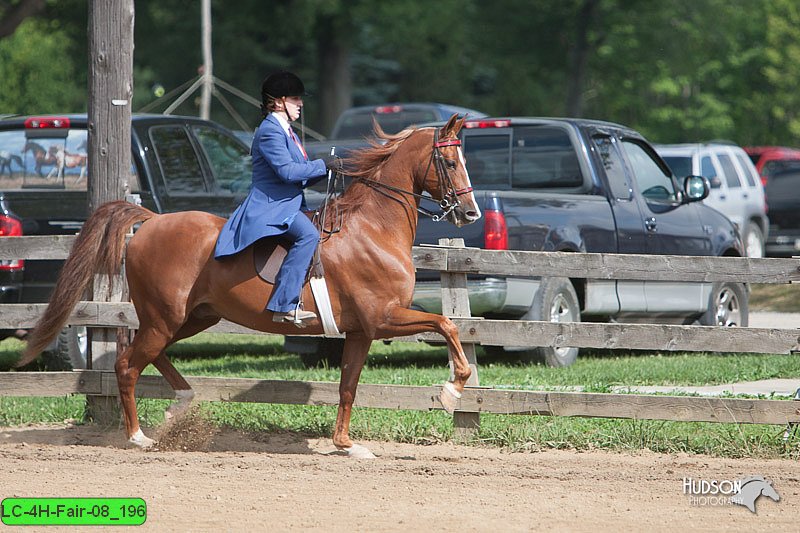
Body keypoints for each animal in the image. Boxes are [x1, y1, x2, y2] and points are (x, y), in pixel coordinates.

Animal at [18, 114, 482, 460]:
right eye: (450, 162)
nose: (471, 213)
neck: (373, 229)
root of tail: (151, 220)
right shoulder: (383, 318)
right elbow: (446, 324)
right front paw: (450, 391)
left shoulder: (360, 331)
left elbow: (348, 386)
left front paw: (346, 445)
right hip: (165, 318)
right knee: (128, 365)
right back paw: (138, 437)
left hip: (190, 318)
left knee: (146, 354)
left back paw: (181, 403)